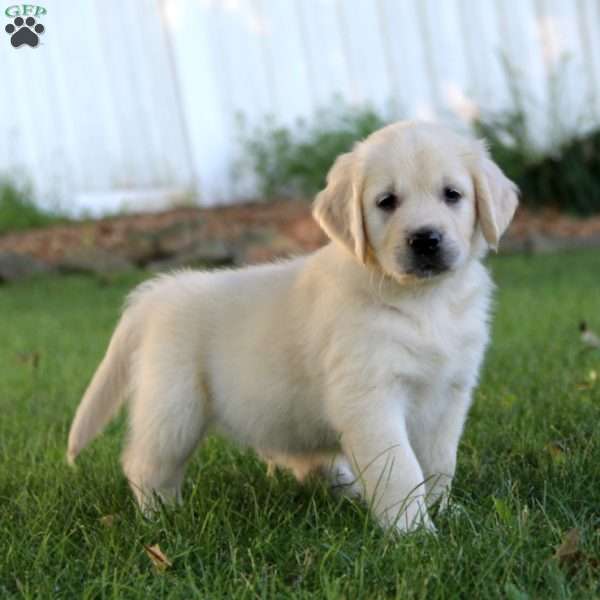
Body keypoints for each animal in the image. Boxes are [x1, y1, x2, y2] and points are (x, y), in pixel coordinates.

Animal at [64, 119, 516, 532]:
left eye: (452, 194)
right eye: (386, 201)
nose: (425, 240)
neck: (422, 301)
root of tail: (157, 293)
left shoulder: (449, 394)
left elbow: (439, 461)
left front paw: (445, 511)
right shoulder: (371, 396)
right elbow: (400, 466)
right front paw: (414, 532)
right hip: (173, 409)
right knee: (144, 464)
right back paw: (160, 517)